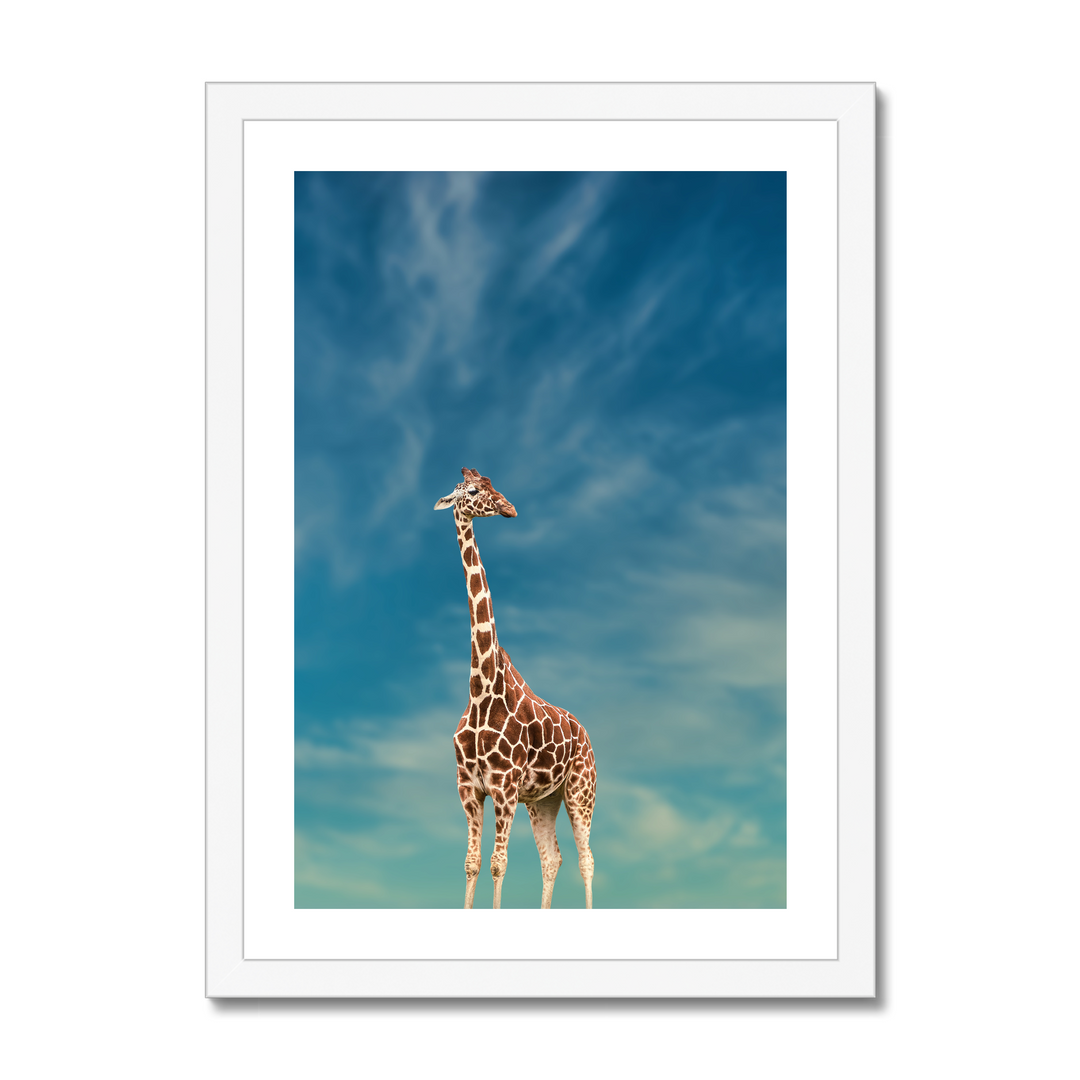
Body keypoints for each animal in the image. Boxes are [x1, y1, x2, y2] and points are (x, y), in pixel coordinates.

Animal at [434, 467, 597, 910]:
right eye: (473, 490)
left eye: (492, 483)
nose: (510, 508)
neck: (481, 688)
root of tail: (587, 736)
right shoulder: (469, 788)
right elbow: (473, 862)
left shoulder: (504, 787)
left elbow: (498, 864)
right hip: (543, 800)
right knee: (553, 858)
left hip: (580, 791)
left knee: (586, 859)